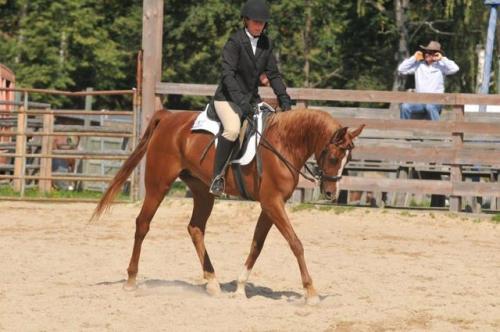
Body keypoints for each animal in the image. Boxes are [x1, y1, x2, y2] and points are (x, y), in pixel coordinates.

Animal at [93, 107, 364, 304]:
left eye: (348, 158)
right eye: (333, 157)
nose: (330, 193)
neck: (284, 143)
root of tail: (169, 116)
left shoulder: (271, 205)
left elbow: (257, 245)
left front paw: (240, 288)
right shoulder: (272, 202)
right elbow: (295, 243)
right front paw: (311, 293)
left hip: (203, 191)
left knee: (195, 228)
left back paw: (213, 282)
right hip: (158, 184)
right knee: (143, 223)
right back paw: (131, 280)